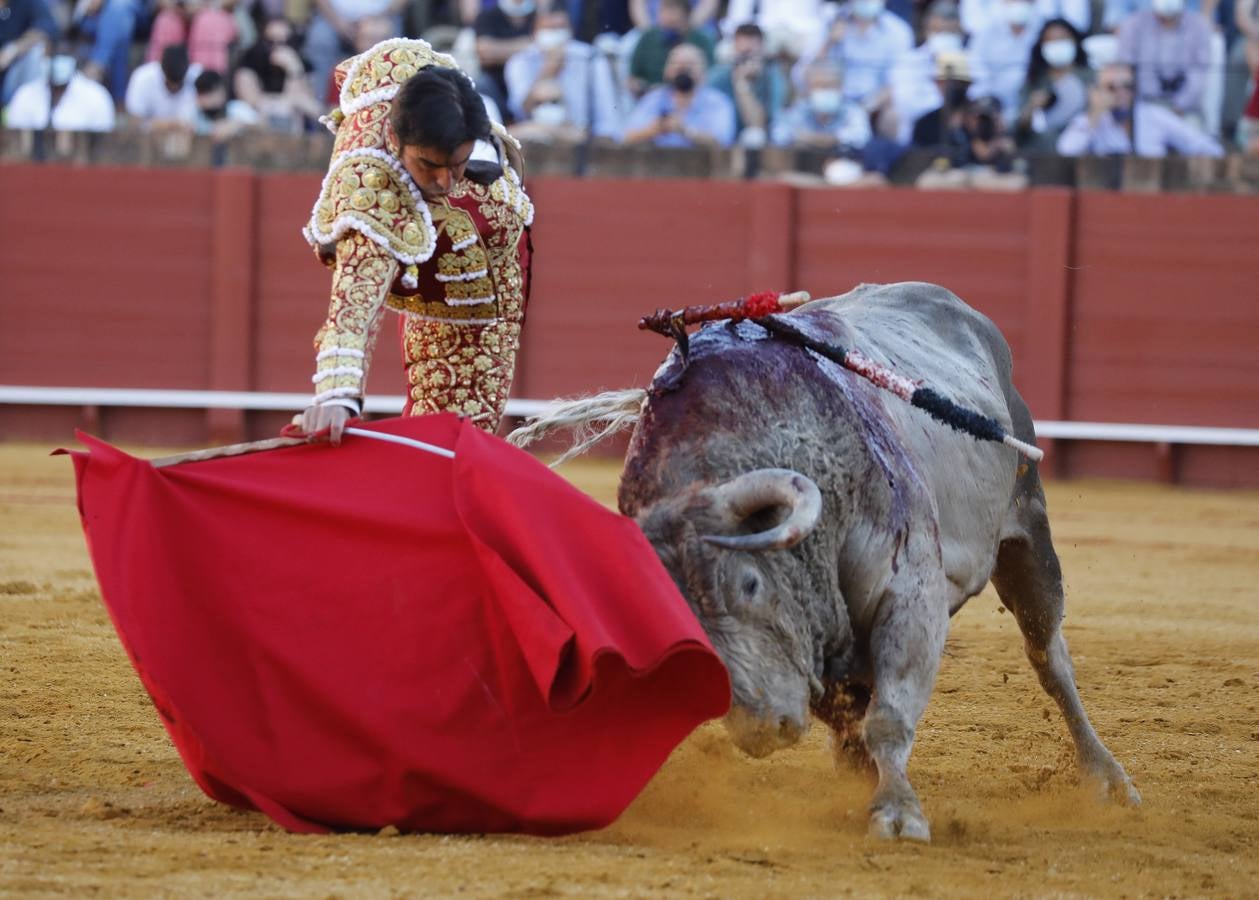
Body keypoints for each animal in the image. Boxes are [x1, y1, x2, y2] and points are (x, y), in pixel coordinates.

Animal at [511, 285, 1143, 840]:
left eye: (749, 585)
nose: (759, 727)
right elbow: (851, 714)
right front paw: (865, 784)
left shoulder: (911, 593)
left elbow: (888, 717)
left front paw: (897, 814)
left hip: (1027, 529)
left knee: (1049, 656)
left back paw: (1108, 780)